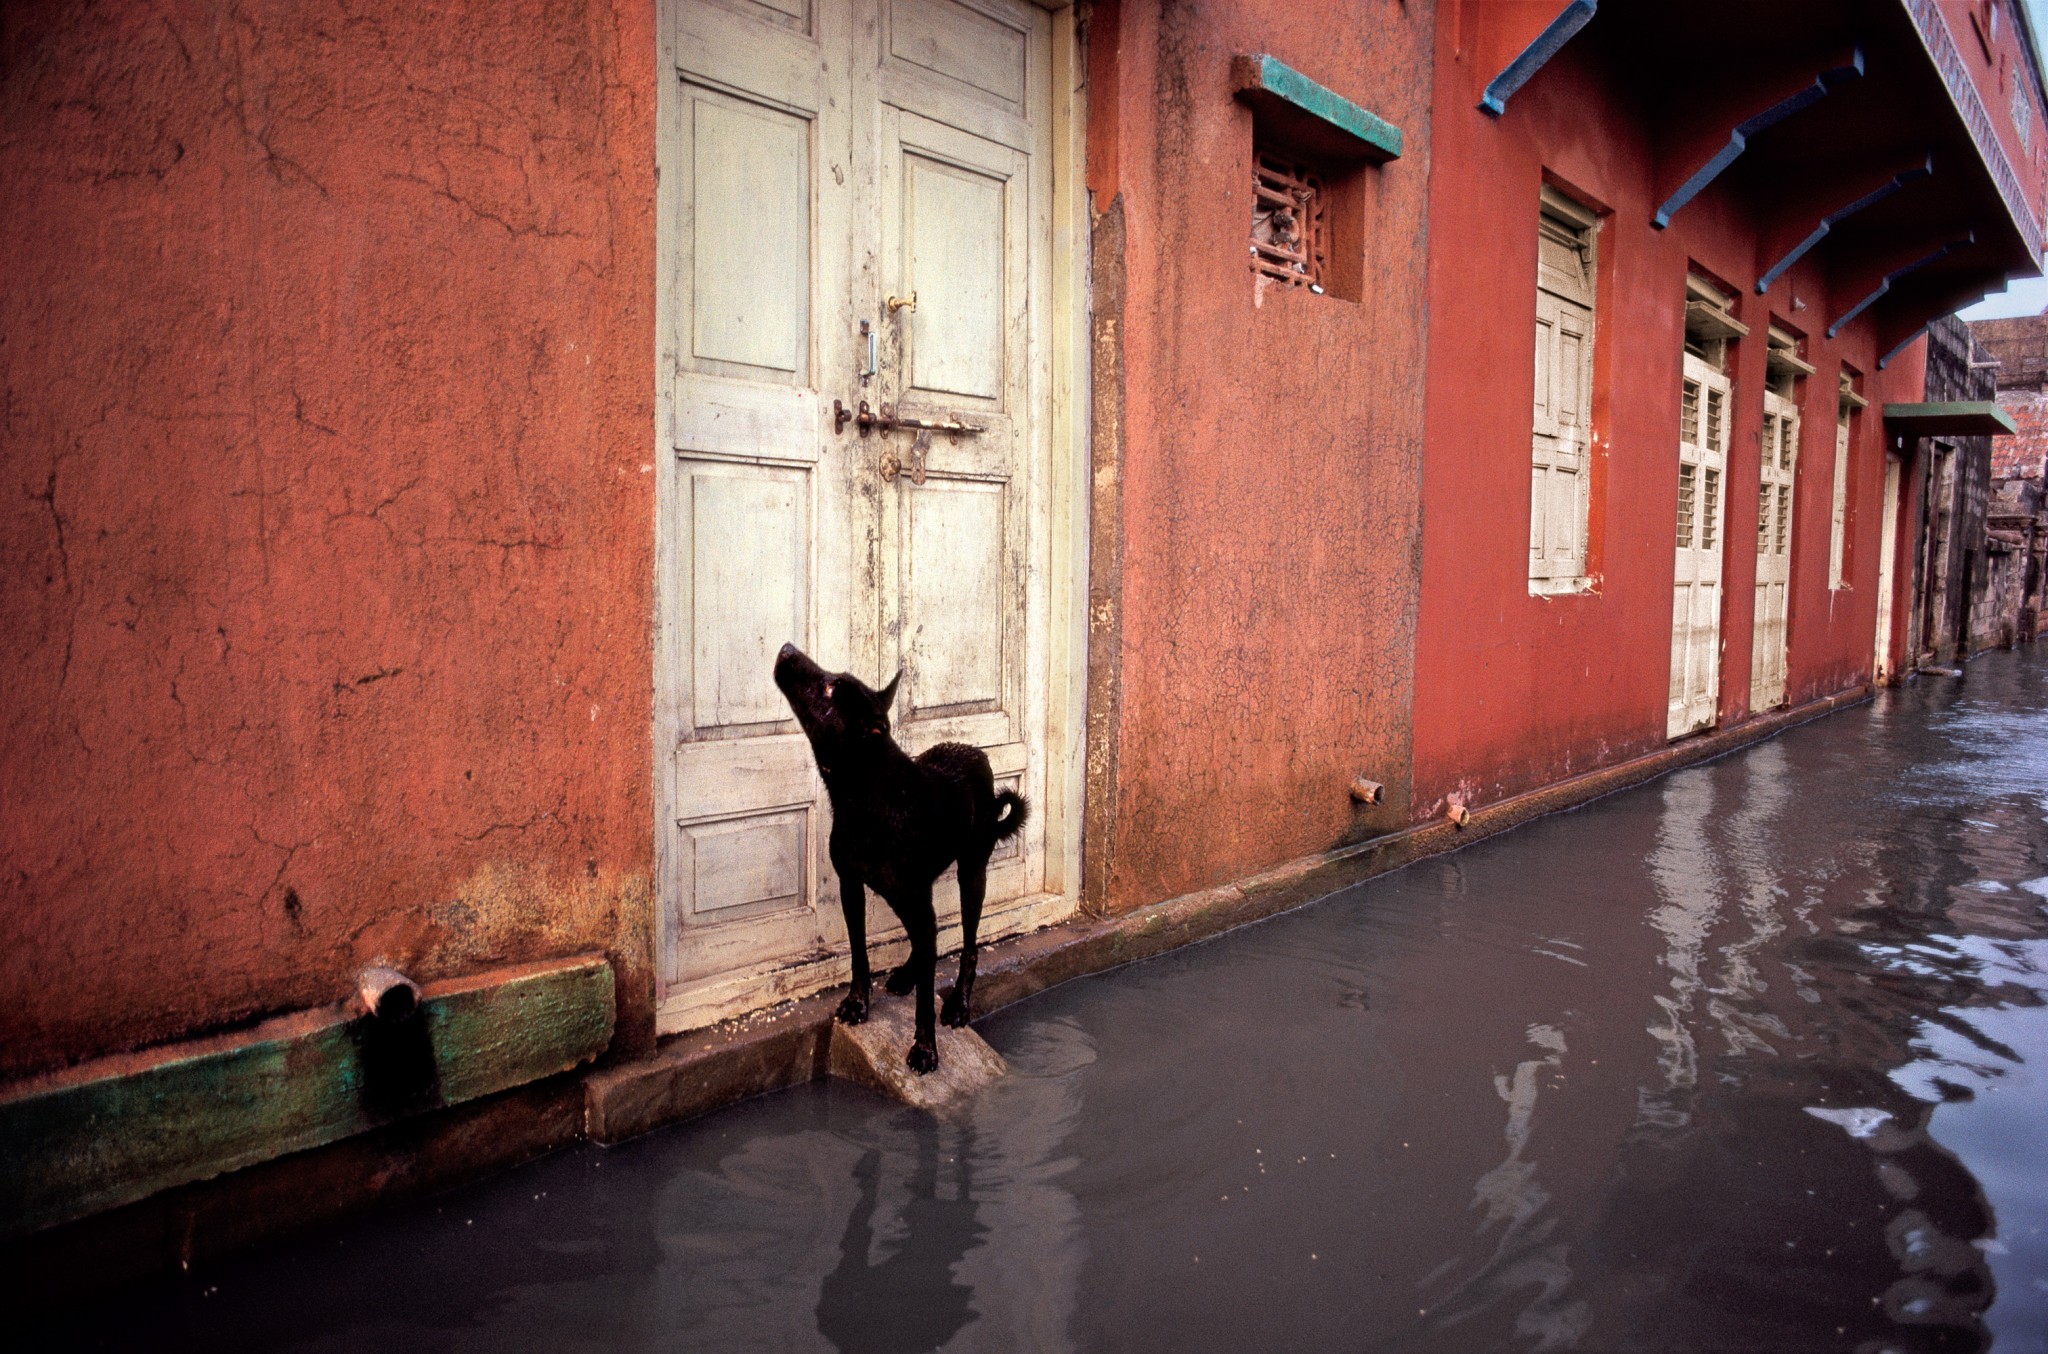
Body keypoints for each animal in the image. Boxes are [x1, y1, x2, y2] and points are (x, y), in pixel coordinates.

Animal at [770, 639, 1032, 1073]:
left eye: (829, 689)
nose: (787, 648)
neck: (867, 796)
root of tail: (975, 752)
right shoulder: (851, 887)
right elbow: (860, 956)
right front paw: (858, 1003)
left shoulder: (915, 898)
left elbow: (926, 998)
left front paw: (925, 1048)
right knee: (928, 939)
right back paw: (909, 972)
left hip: (971, 874)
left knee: (967, 946)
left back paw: (958, 1003)